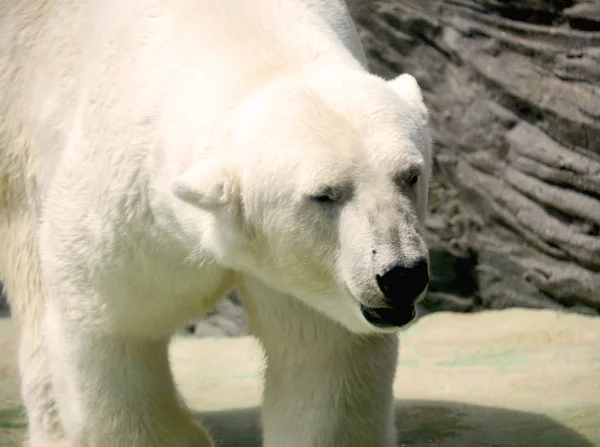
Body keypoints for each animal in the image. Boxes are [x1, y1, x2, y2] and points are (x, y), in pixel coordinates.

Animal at [0, 0, 432, 447]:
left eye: (410, 175)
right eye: (324, 194)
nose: (402, 275)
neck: (238, 30)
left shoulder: (311, 279)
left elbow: (324, 354)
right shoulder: (126, 209)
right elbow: (114, 330)